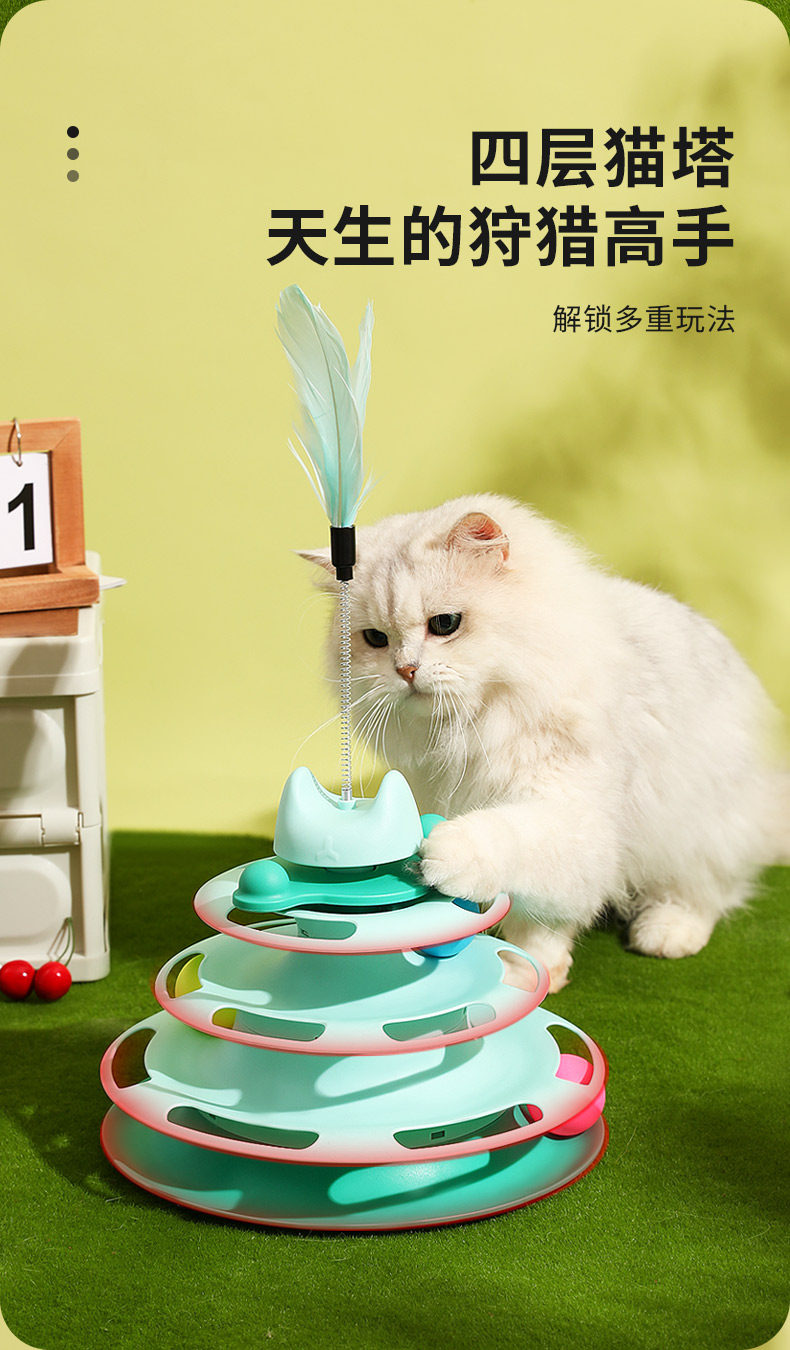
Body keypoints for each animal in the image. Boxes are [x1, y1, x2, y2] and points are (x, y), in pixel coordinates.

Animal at [300, 495, 789, 991]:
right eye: (375, 639)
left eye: (445, 624)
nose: (405, 670)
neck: (472, 724)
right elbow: (538, 921)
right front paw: (530, 973)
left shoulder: (576, 821)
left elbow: (509, 847)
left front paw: (444, 854)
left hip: (697, 831)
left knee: (706, 895)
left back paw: (665, 934)